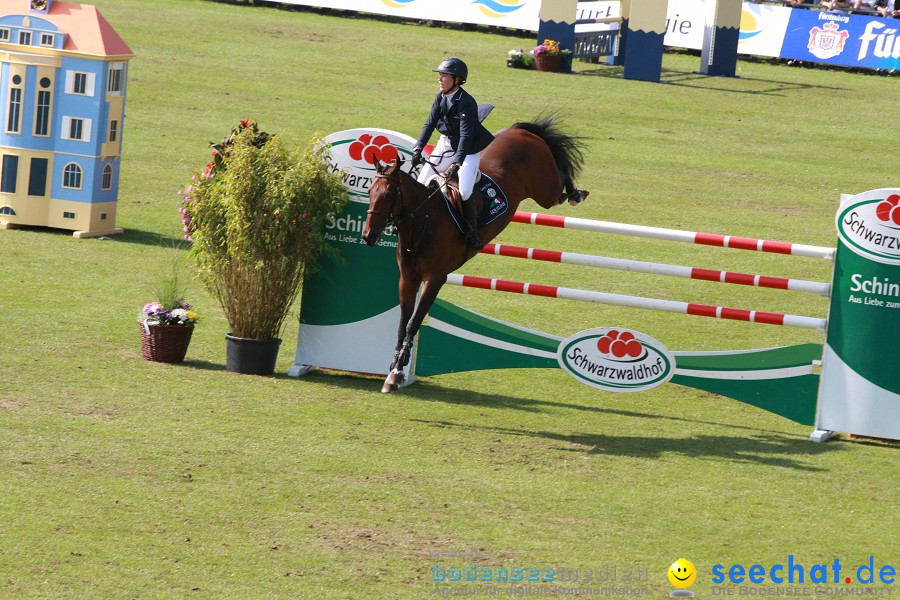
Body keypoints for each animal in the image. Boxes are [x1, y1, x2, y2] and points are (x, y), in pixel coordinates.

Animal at [362, 115, 588, 394]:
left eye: (388, 195)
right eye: (369, 192)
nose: (368, 236)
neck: (423, 221)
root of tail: (521, 131)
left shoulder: (434, 279)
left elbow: (414, 322)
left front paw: (396, 372)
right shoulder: (407, 279)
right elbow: (403, 325)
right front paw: (394, 369)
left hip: (544, 191)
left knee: (560, 185)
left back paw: (577, 193)